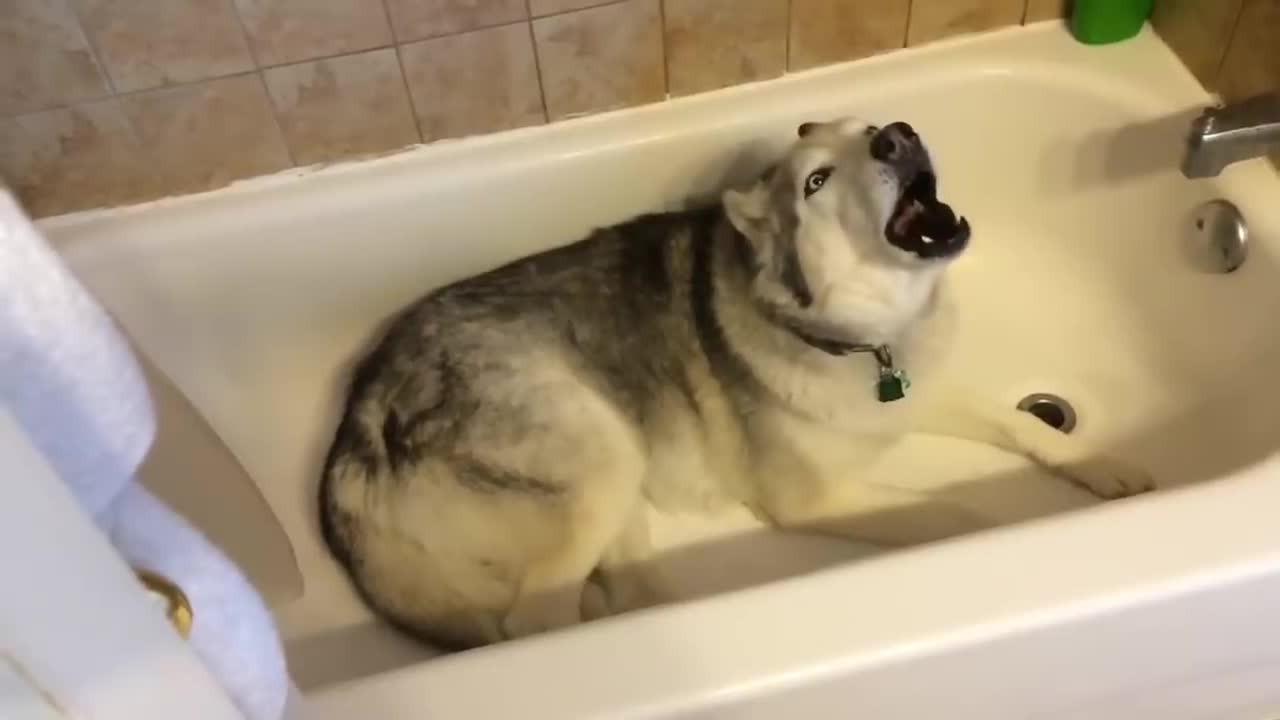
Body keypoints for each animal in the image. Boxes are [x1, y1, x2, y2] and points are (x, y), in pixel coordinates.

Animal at [317, 116, 1152, 645]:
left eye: (867, 129)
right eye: (817, 181)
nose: (898, 133)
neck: (859, 341)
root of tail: (356, 430)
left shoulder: (922, 390)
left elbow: (1023, 424)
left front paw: (1099, 466)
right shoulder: (807, 498)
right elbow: (952, 512)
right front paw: (1001, 531)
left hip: (621, 484)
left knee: (624, 593)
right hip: (600, 457)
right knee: (533, 623)